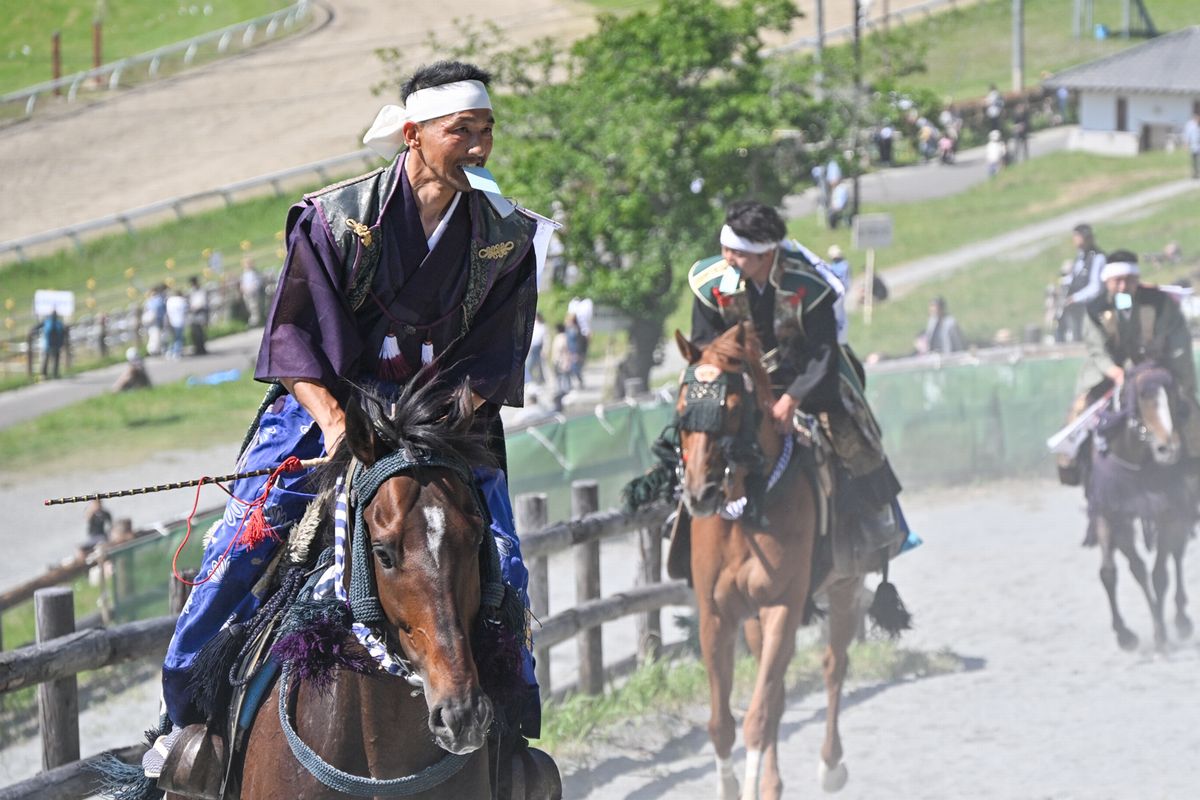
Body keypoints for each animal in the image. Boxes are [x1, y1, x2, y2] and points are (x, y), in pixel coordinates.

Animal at [1089, 362, 1190, 652]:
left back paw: (1182, 620)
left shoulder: (1167, 512)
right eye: (1143, 397)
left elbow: (1159, 574)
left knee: (1177, 554)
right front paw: (1125, 634)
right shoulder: (1113, 513)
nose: (1168, 449)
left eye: (1172, 394)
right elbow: (1120, 571)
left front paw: (1161, 635)